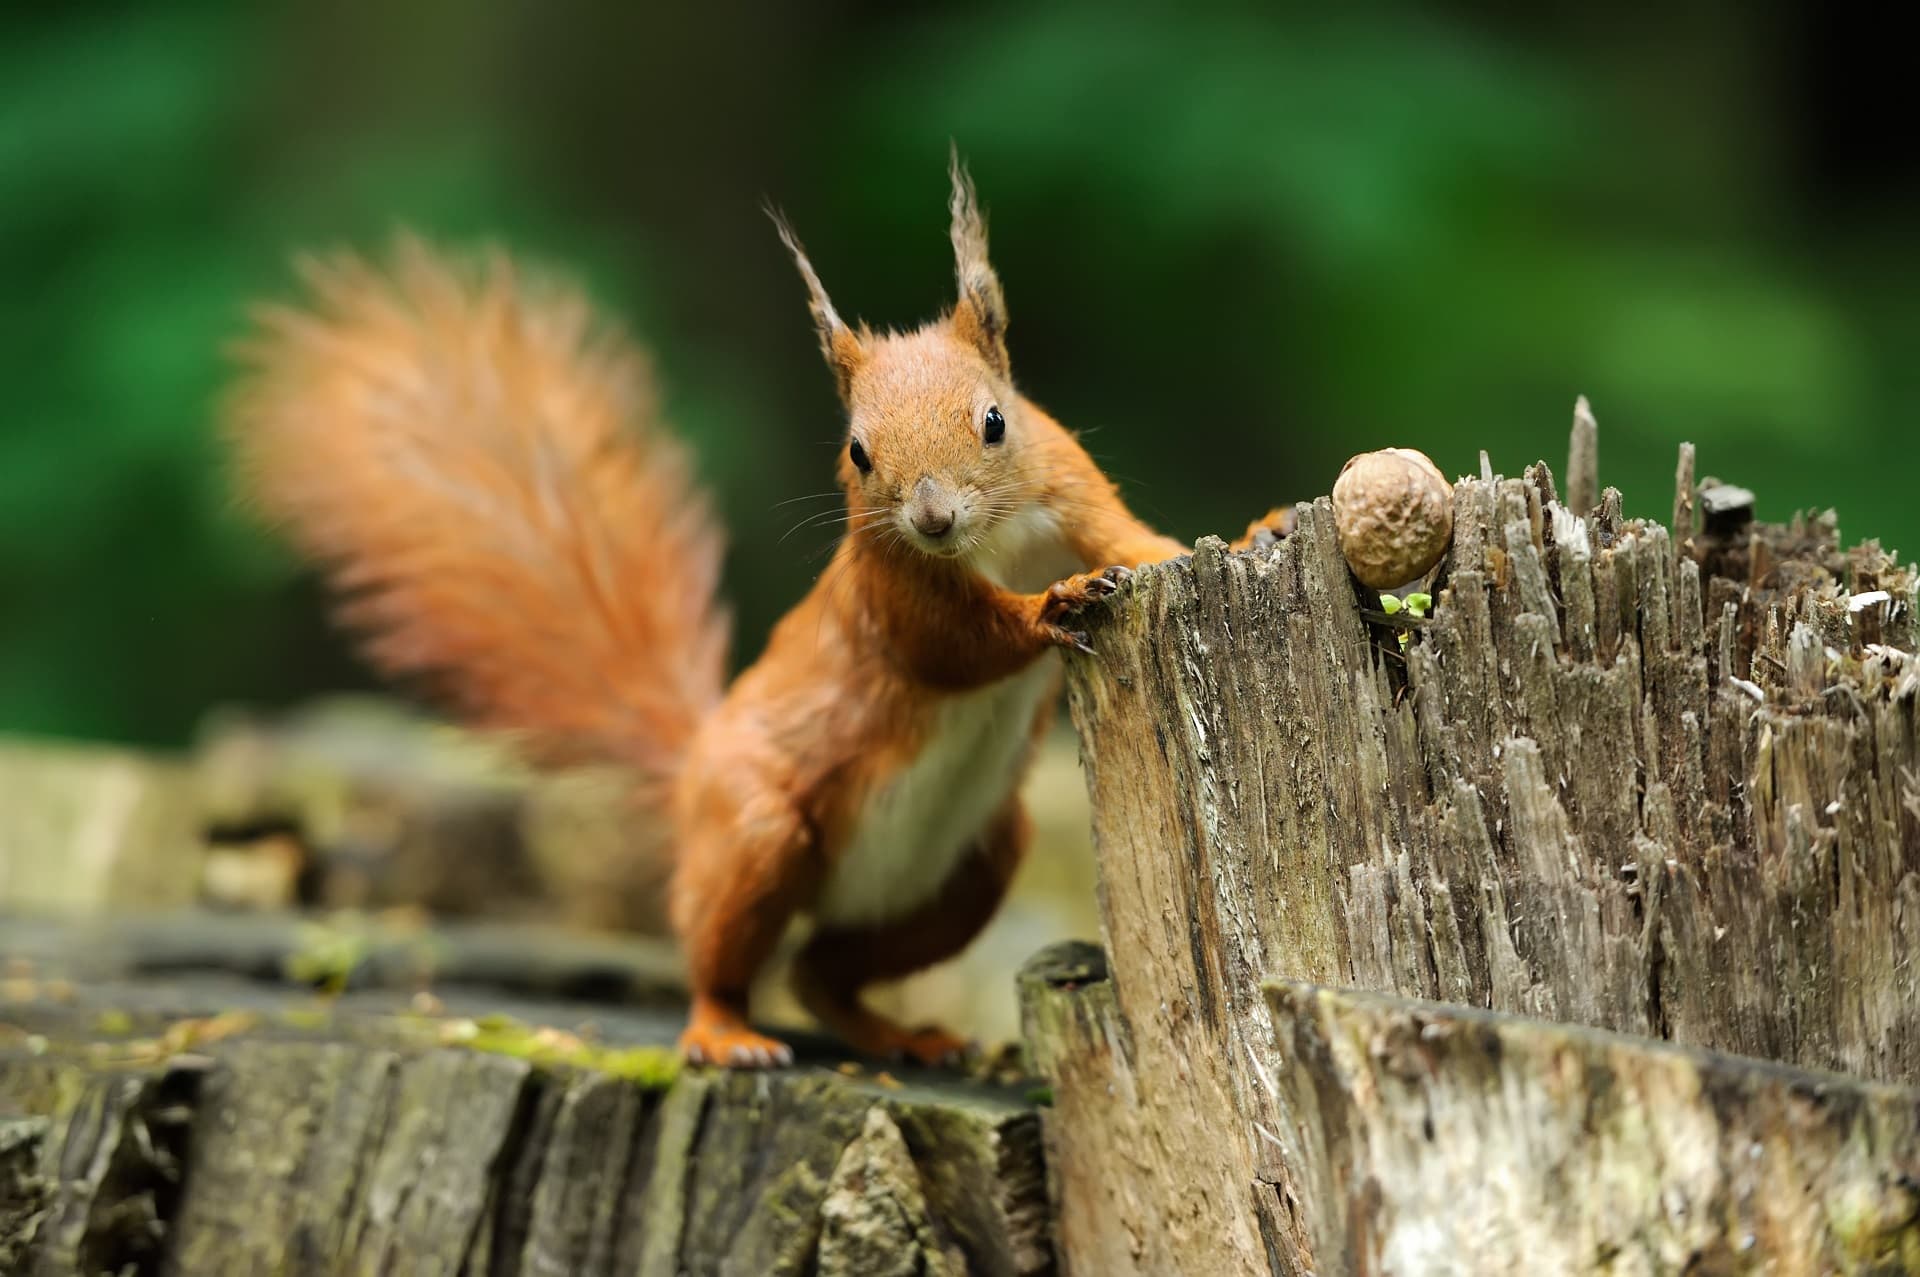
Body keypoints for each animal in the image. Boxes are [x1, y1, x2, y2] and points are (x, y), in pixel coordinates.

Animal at [230, 155, 1279, 1067]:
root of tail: (693, 762)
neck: (995, 543)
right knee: (726, 960)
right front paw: (1049, 605)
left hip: (972, 868)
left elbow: (1139, 545)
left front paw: (1247, 531)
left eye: (996, 420)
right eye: (857, 451)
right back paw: (727, 1034)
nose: (933, 516)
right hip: (754, 833)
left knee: (820, 972)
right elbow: (960, 644)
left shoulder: (1076, 498)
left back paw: (906, 1036)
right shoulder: (892, 596)